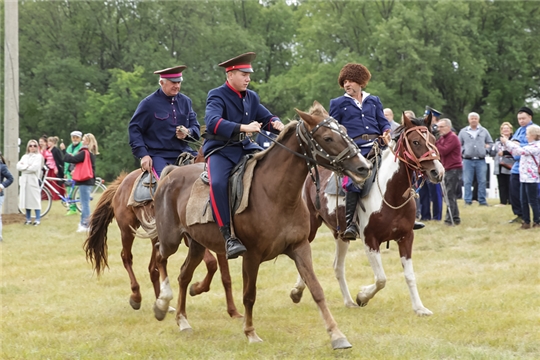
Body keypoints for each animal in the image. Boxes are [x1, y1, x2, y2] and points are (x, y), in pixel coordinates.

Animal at [83, 158, 242, 318]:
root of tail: (122, 182)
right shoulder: (191, 240)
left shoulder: (218, 243)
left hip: (155, 238)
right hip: (127, 230)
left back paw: (162, 302)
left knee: (153, 268)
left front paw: (233, 311)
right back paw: (137, 296)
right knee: (126, 257)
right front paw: (196, 288)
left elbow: (225, 276)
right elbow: (211, 263)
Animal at [143, 102, 372, 350]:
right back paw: (162, 303)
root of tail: (171, 173)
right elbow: (249, 295)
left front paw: (337, 335)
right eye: (328, 137)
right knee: (160, 257)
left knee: (184, 275)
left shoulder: (300, 247)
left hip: (196, 244)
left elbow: (316, 289)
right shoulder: (251, 256)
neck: (276, 194)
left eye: (345, 131)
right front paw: (250, 332)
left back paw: (183, 320)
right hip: (171, 239)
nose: (364, 167)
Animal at [292, 114, 442, 316]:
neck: (391, 194)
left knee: (338, 266)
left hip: (341, 235)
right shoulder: (370, 240)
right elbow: (381, 279)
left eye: (433, 139)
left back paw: (348, 301)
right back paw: (297, 291)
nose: (437, 171)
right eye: (415, 141)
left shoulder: (406, 237)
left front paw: (419, 308)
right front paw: (362, 296)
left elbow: (409, 275)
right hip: (312, 227)